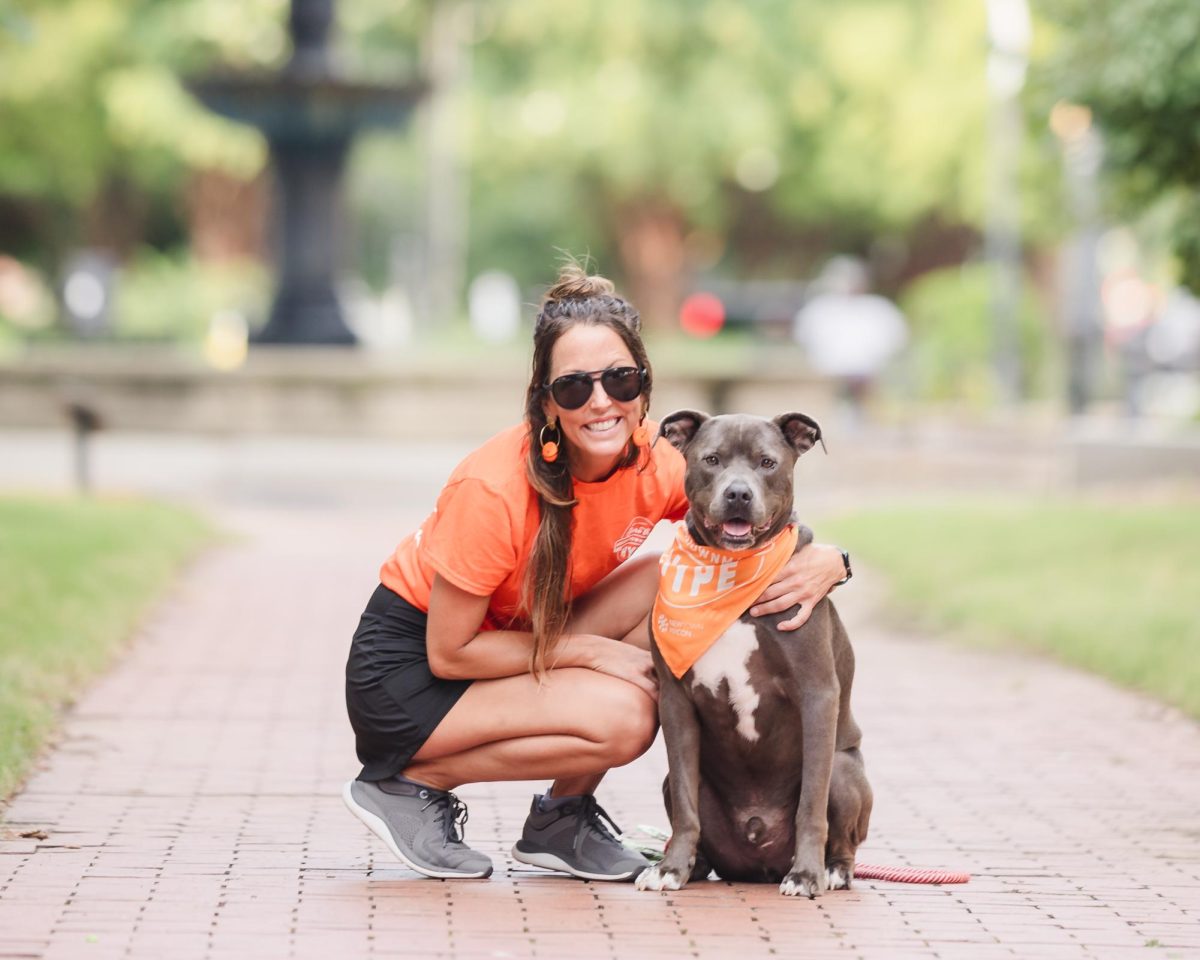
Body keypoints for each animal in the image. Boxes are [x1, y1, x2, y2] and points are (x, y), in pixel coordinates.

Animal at [638, 408, 873, 897]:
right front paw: (670, 868)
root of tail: (759, 862)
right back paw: (693, 865)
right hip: (682, 787)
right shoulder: (675, 699)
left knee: (841, 830)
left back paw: (831, 870)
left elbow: (811, 805)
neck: (735, 577)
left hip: (845, 770)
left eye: (767, 462)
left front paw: (806, 875)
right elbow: (686, 806)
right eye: (712, 459)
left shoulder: (818, 694)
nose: (738, 493)